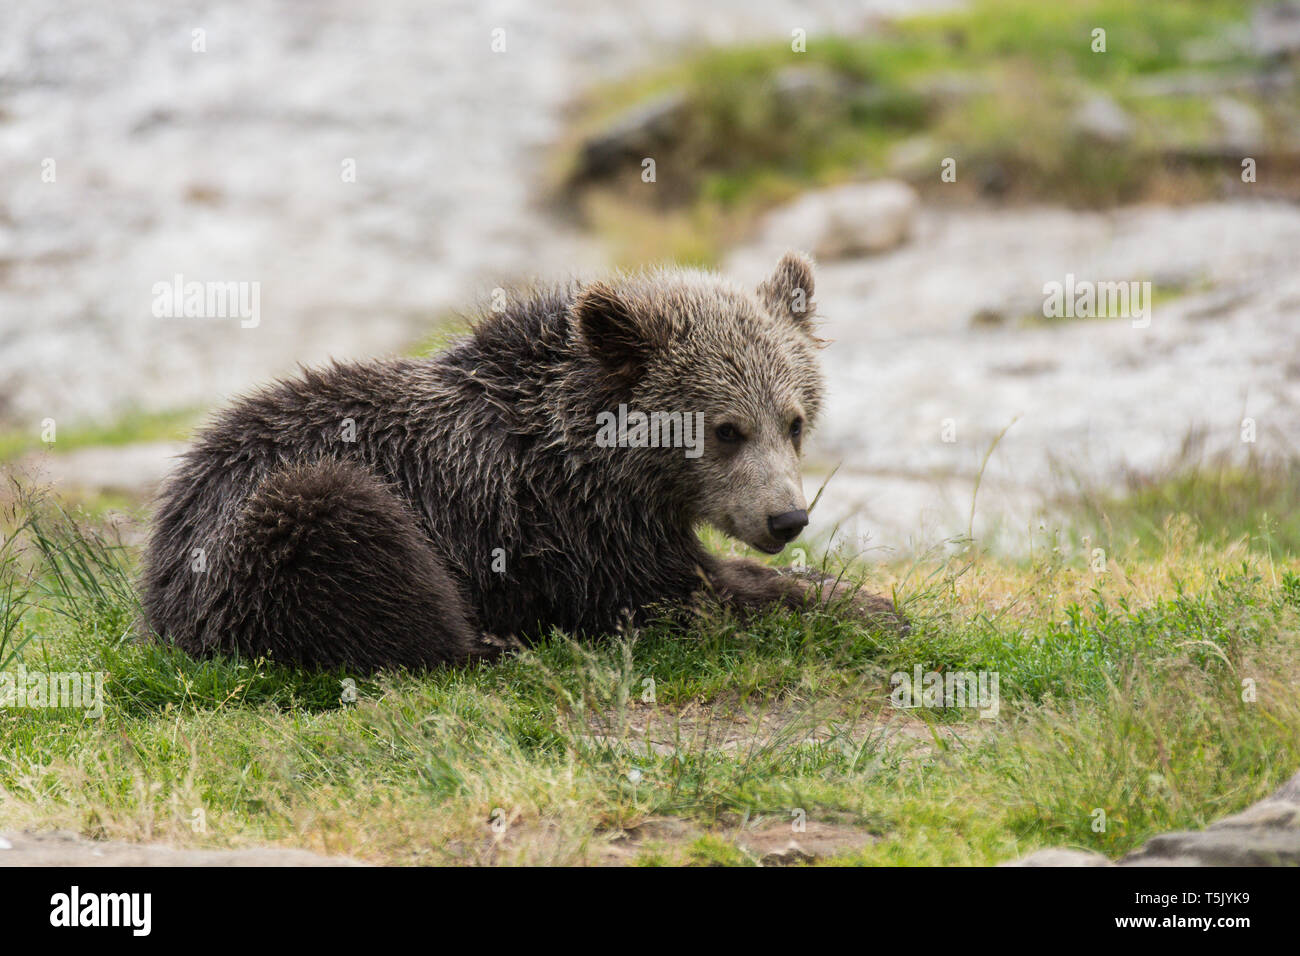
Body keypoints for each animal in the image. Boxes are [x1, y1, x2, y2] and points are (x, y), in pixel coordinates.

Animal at [140, 252, 899, 671]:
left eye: (794, 420)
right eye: (726, 430)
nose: (787, 518)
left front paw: (848, 590)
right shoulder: (566, 525)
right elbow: (681, 590)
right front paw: (862, 604)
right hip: (281, 521)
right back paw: (496, 644)